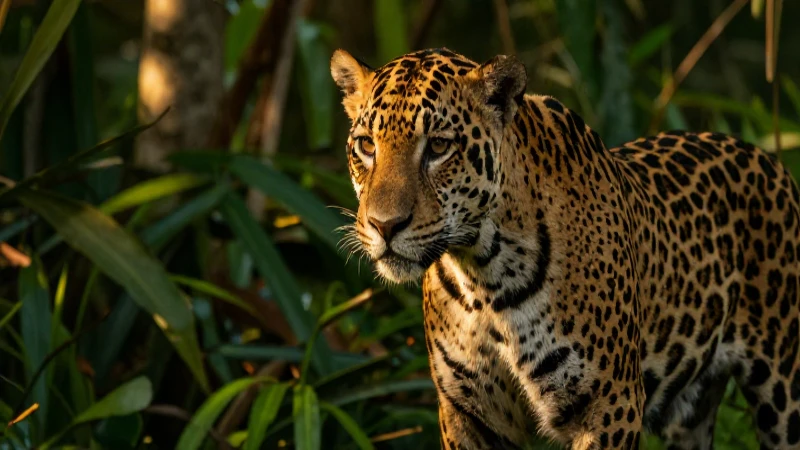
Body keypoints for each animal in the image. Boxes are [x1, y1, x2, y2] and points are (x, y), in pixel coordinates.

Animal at [330, 47, 800, 449]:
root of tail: (768, 159)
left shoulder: (610, 405)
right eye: (366, 145)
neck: (485, 277)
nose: (384, 225)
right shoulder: (469, 412)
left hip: (784, 389)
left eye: (440, 147)